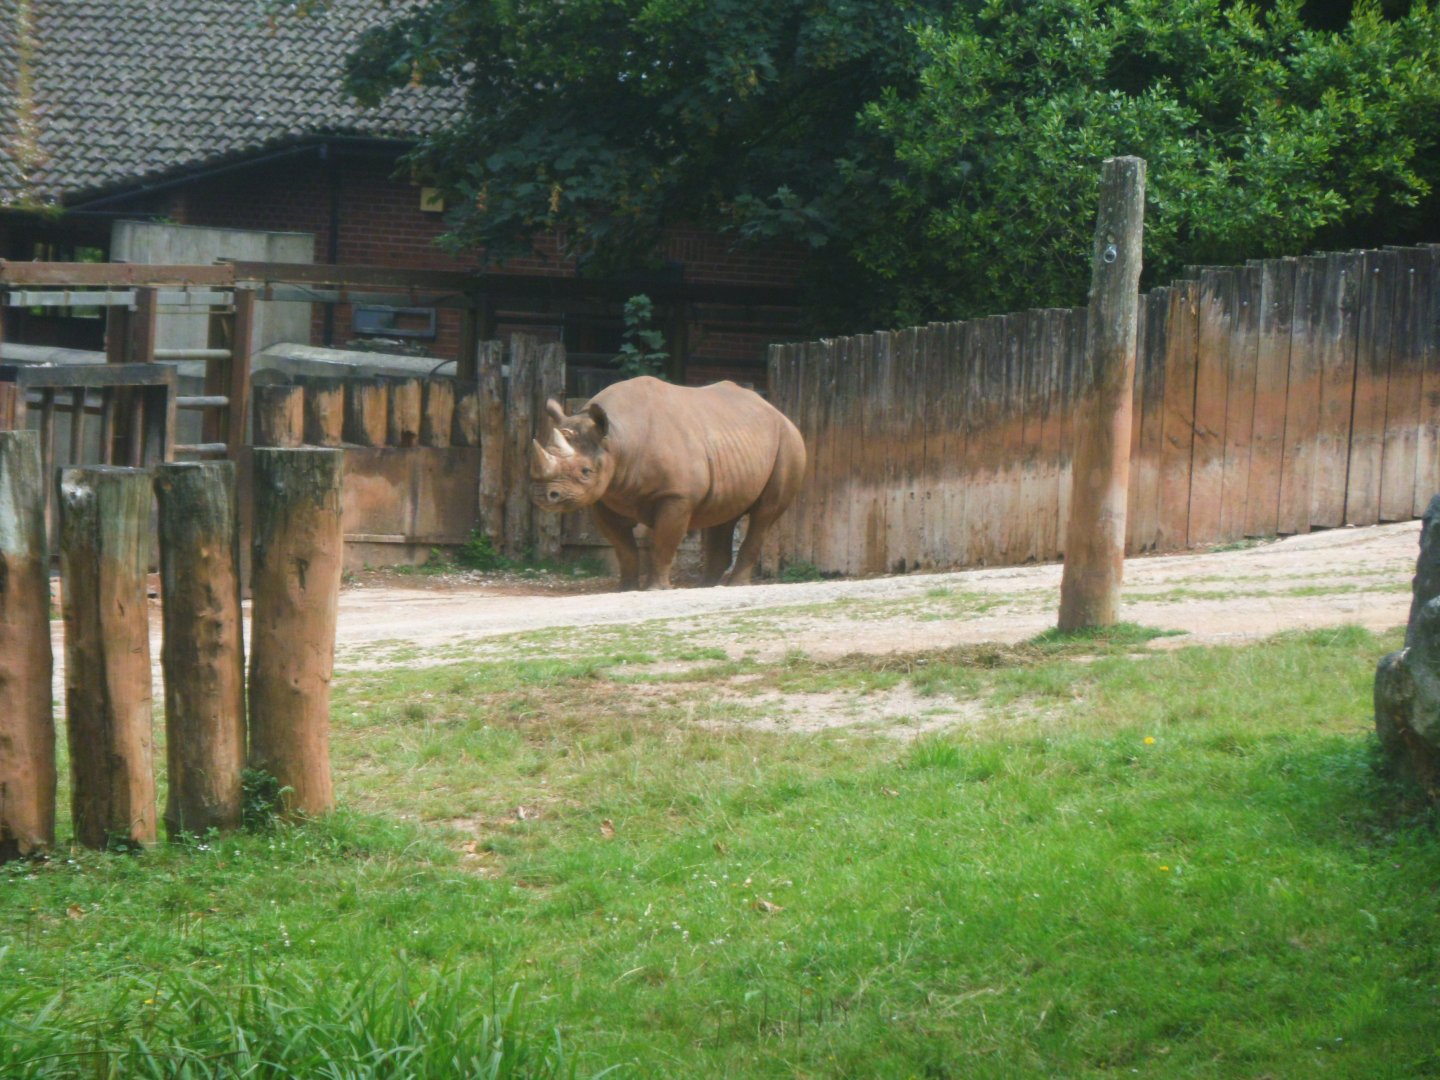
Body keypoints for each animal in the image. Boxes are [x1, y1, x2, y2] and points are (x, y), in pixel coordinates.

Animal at [530, 376, 806, 590]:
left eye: (586, 471)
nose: (544, 495)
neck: (617, 439)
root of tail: (776, 410)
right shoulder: (605, 496)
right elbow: (623, 547)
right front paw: (625, 588)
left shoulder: (676, 496)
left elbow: (663, 543)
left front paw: (655, 589)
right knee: (723, 512)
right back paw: (705, 586)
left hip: (789, 441)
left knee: (764, 514)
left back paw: (734, 585)